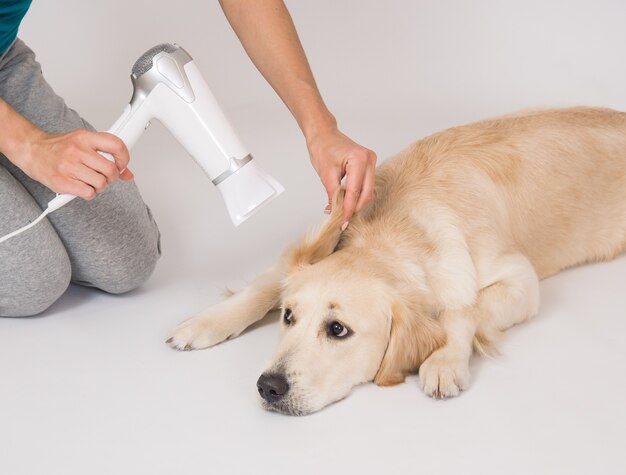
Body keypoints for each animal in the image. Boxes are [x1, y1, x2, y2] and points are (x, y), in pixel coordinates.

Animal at [166, 106, 624, 414]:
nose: (269, 387)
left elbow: (465, 309)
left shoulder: (521, 279)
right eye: (288, 317)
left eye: (338, 329)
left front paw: (444, 359)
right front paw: (206, 322)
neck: (397, 227)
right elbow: (265, 283)